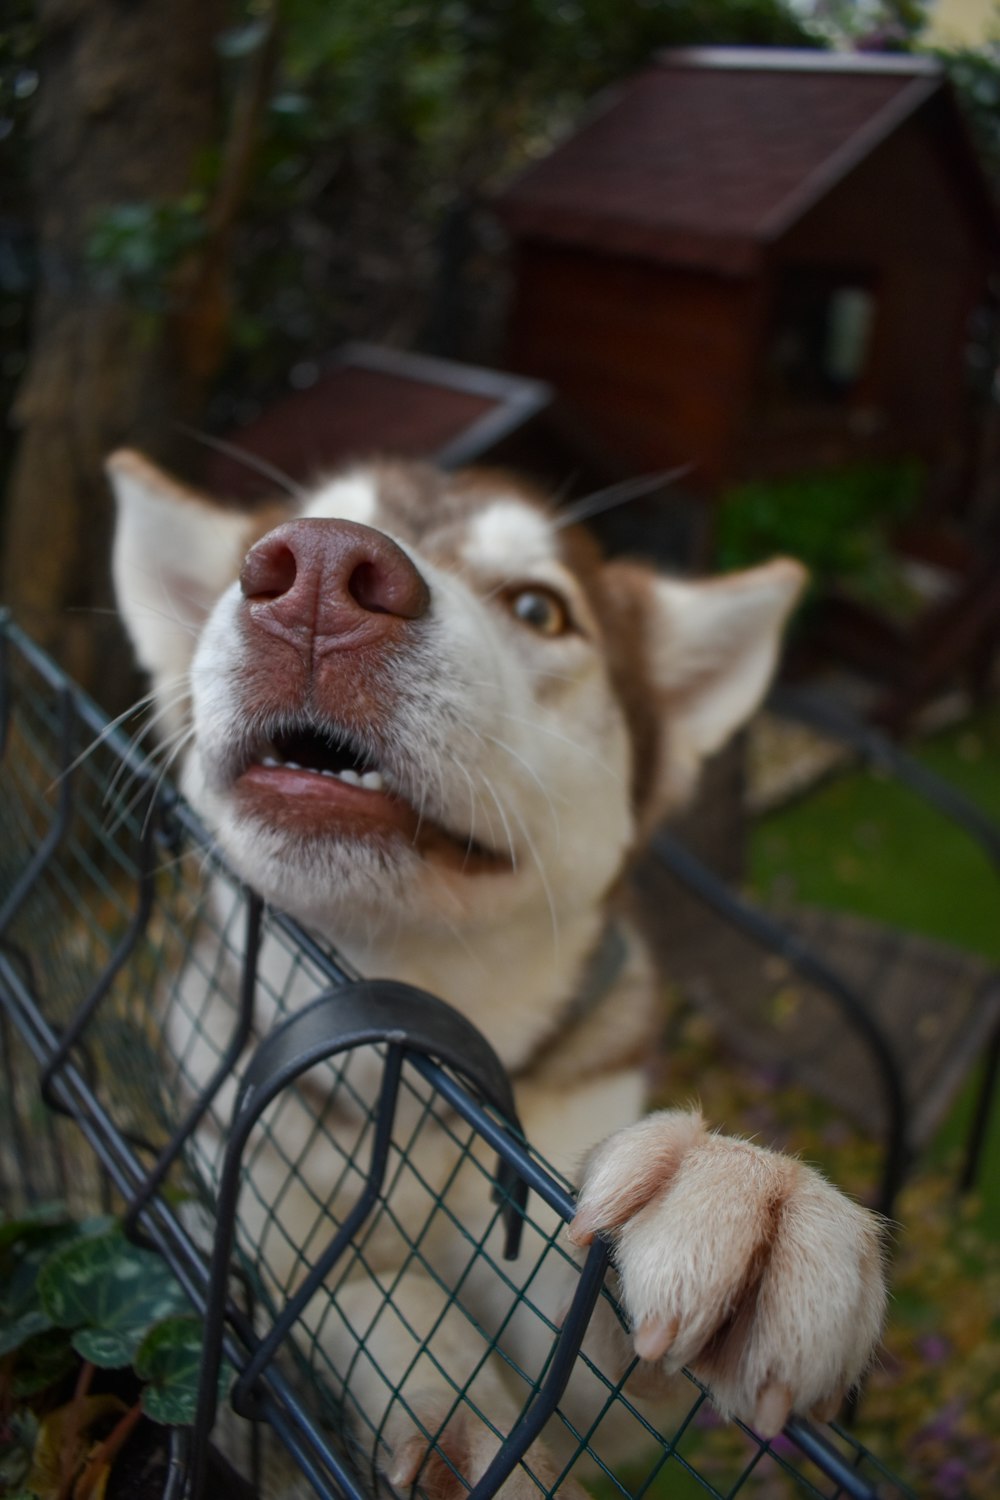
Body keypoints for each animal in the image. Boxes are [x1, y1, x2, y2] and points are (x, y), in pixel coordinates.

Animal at [109, 450, 887, 1494]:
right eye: (268, 549)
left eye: (538, 608)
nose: (319, 570)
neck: (403, 1038)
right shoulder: (260, 1226)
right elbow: (368, 1299)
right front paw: (457, 1421)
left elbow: (586, 1348)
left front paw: (729, 1191)